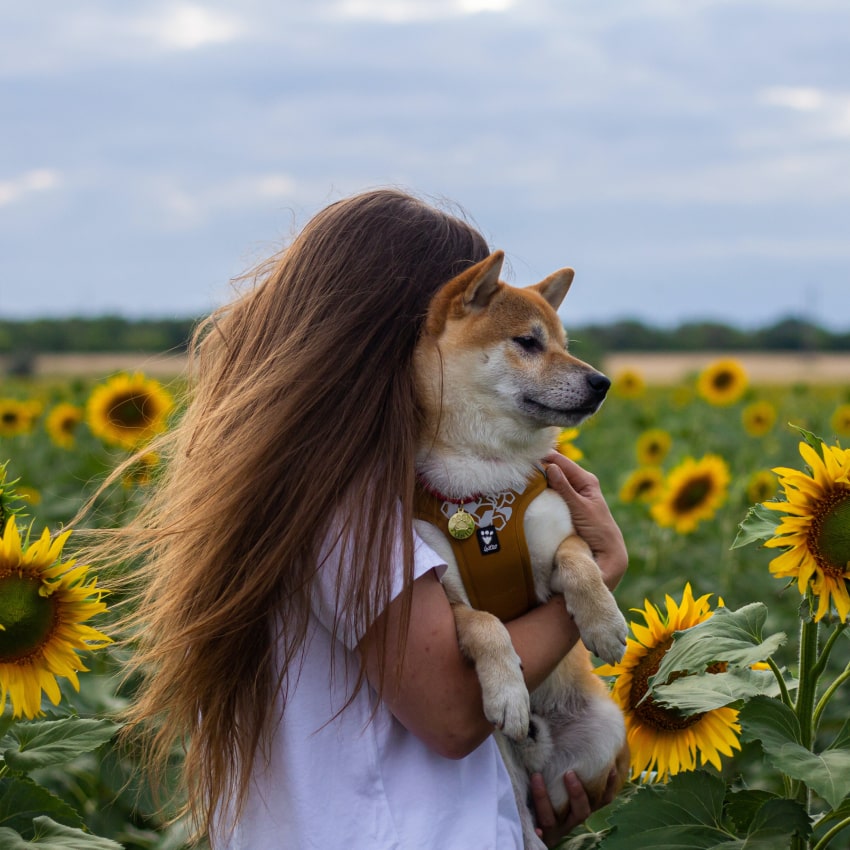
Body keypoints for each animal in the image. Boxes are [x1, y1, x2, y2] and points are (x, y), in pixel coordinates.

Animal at [410, 252, 628, 848]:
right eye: (529, 342)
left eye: (564, 342)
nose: (603, 382)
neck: (484, 480)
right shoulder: (447, 599)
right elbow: (486, 623)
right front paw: (508, 689)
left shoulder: (562, 539)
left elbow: (579, 566)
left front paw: (603, 622)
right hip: (496, 758)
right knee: (524, 813)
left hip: (605, 731)